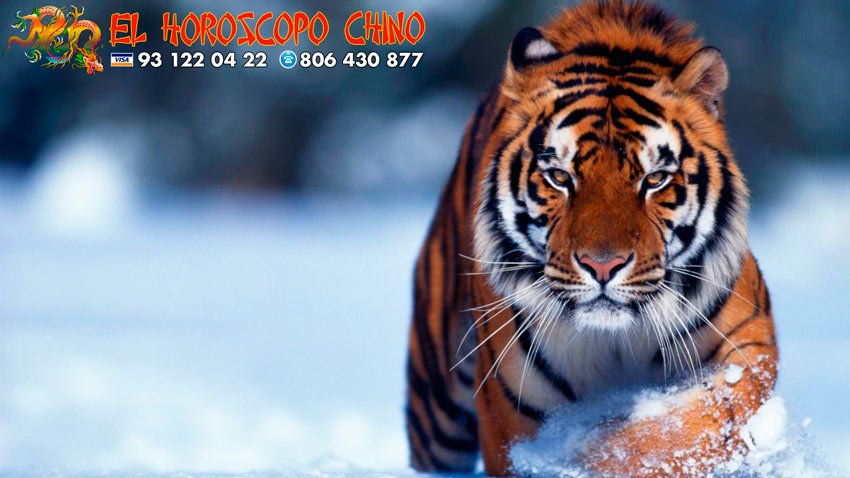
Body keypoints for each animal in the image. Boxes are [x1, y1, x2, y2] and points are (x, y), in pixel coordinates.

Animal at [404, 0, 778, 476]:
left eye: (654, 179)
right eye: (560, 178)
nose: (603, 266)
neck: (614, 340)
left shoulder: (749, 347)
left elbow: (691, 424)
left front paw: (594, 449)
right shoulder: (509, 414)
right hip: (438, 407)